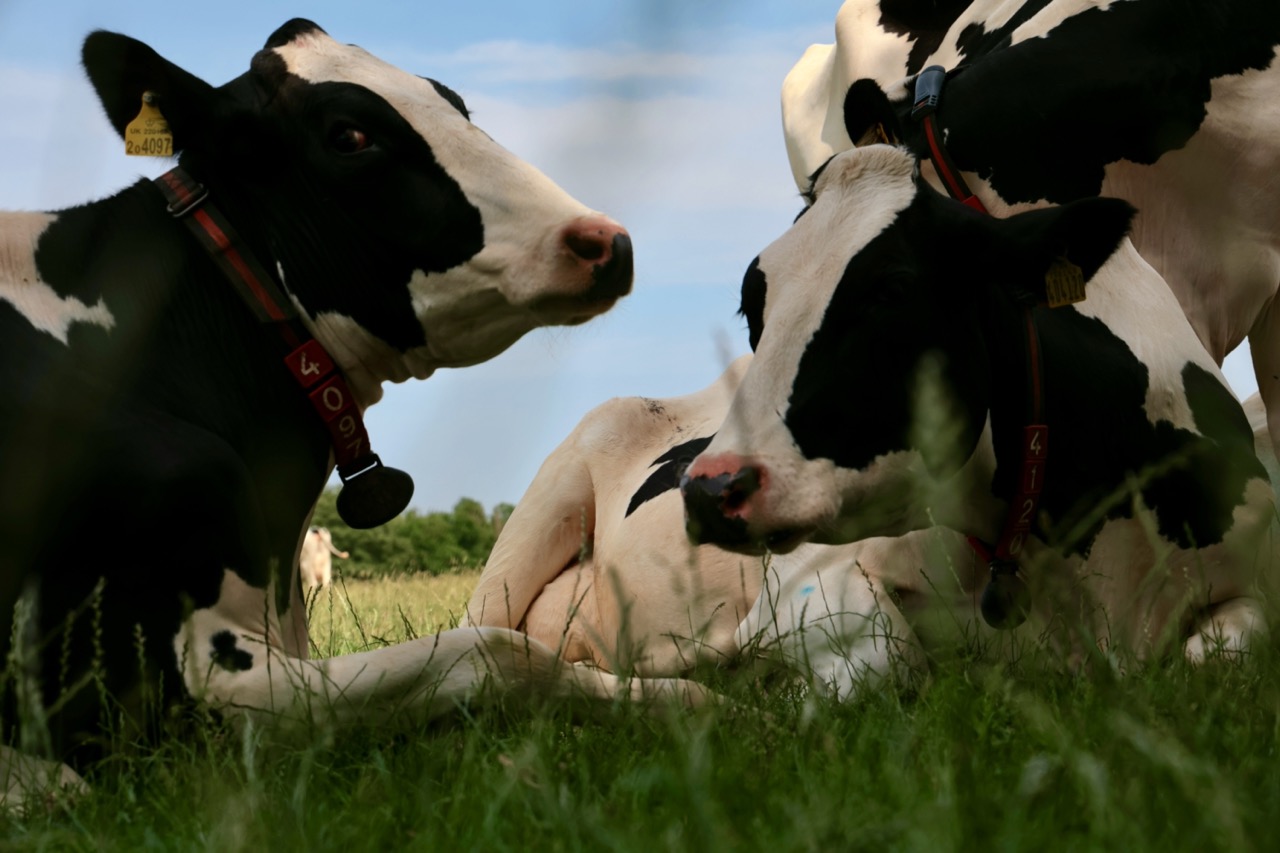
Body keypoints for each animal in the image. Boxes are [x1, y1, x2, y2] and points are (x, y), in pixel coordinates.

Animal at [0, 19, 709, 802]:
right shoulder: (185, 685)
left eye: (454, 102)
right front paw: (693, 699)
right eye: (349, 135)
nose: (604, 241)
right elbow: (494, 651)